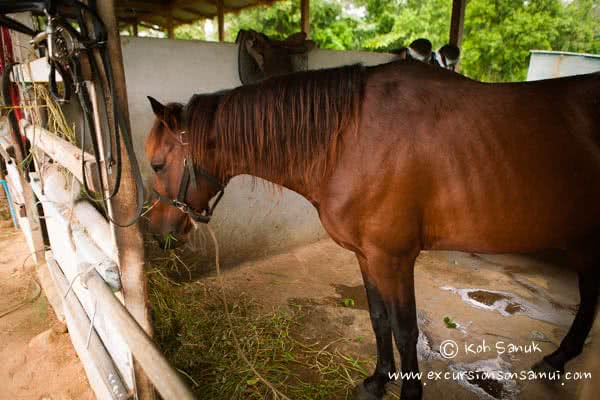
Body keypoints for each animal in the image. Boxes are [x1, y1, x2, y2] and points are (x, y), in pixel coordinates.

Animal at [145, 60, 600, 400]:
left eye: (156, 164)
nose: (157, 231)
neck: (350, 140)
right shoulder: (367, 255)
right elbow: (380, 321)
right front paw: (379, 381)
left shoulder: (393, 258)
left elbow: (405, 329)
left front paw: (409, 392)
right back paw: (558, 359)